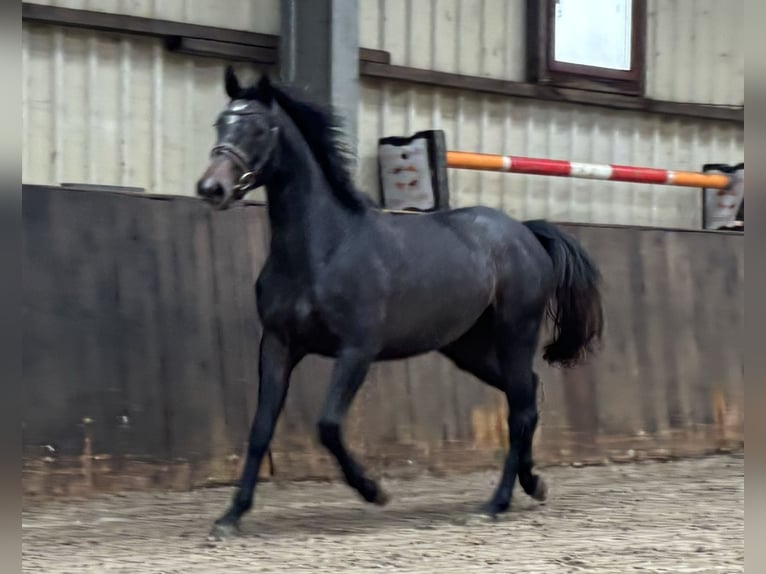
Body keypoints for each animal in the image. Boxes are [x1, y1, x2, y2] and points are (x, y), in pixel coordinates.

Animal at [195, 67, 604, 540]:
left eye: (259, 128)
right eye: (220, 123)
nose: (212, 188)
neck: (323, 251)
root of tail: (525, 233)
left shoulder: (357, 350)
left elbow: (328, 425)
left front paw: (375, 491)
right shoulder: (278, 345)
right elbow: (261, 429)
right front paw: (230, 517)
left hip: (514, 334)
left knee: (520, 408)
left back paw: (494, 504)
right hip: (466, 347)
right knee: (528, 396)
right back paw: (532, 483)